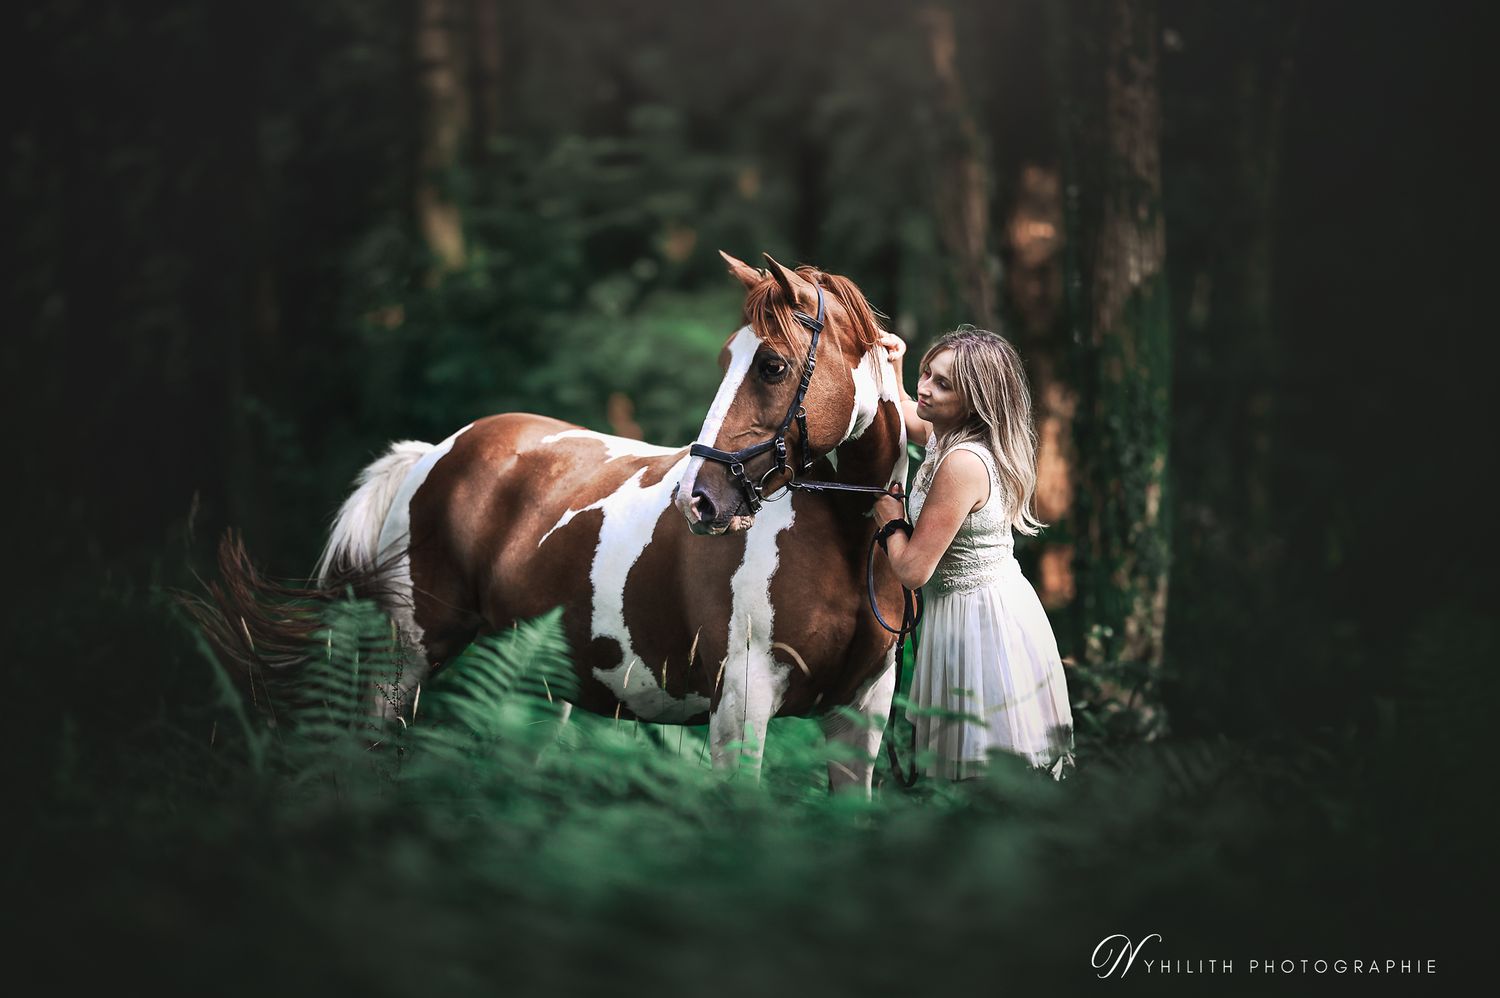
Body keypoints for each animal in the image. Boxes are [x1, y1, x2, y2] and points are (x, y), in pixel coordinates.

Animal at [204, 252, 910, 793]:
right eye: (727, 361)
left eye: (772, 365)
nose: (698, 501)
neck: (847, 542)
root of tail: (436, 452)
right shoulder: (741, 709)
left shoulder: (860, 719)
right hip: (405, 660)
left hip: (533, 689)